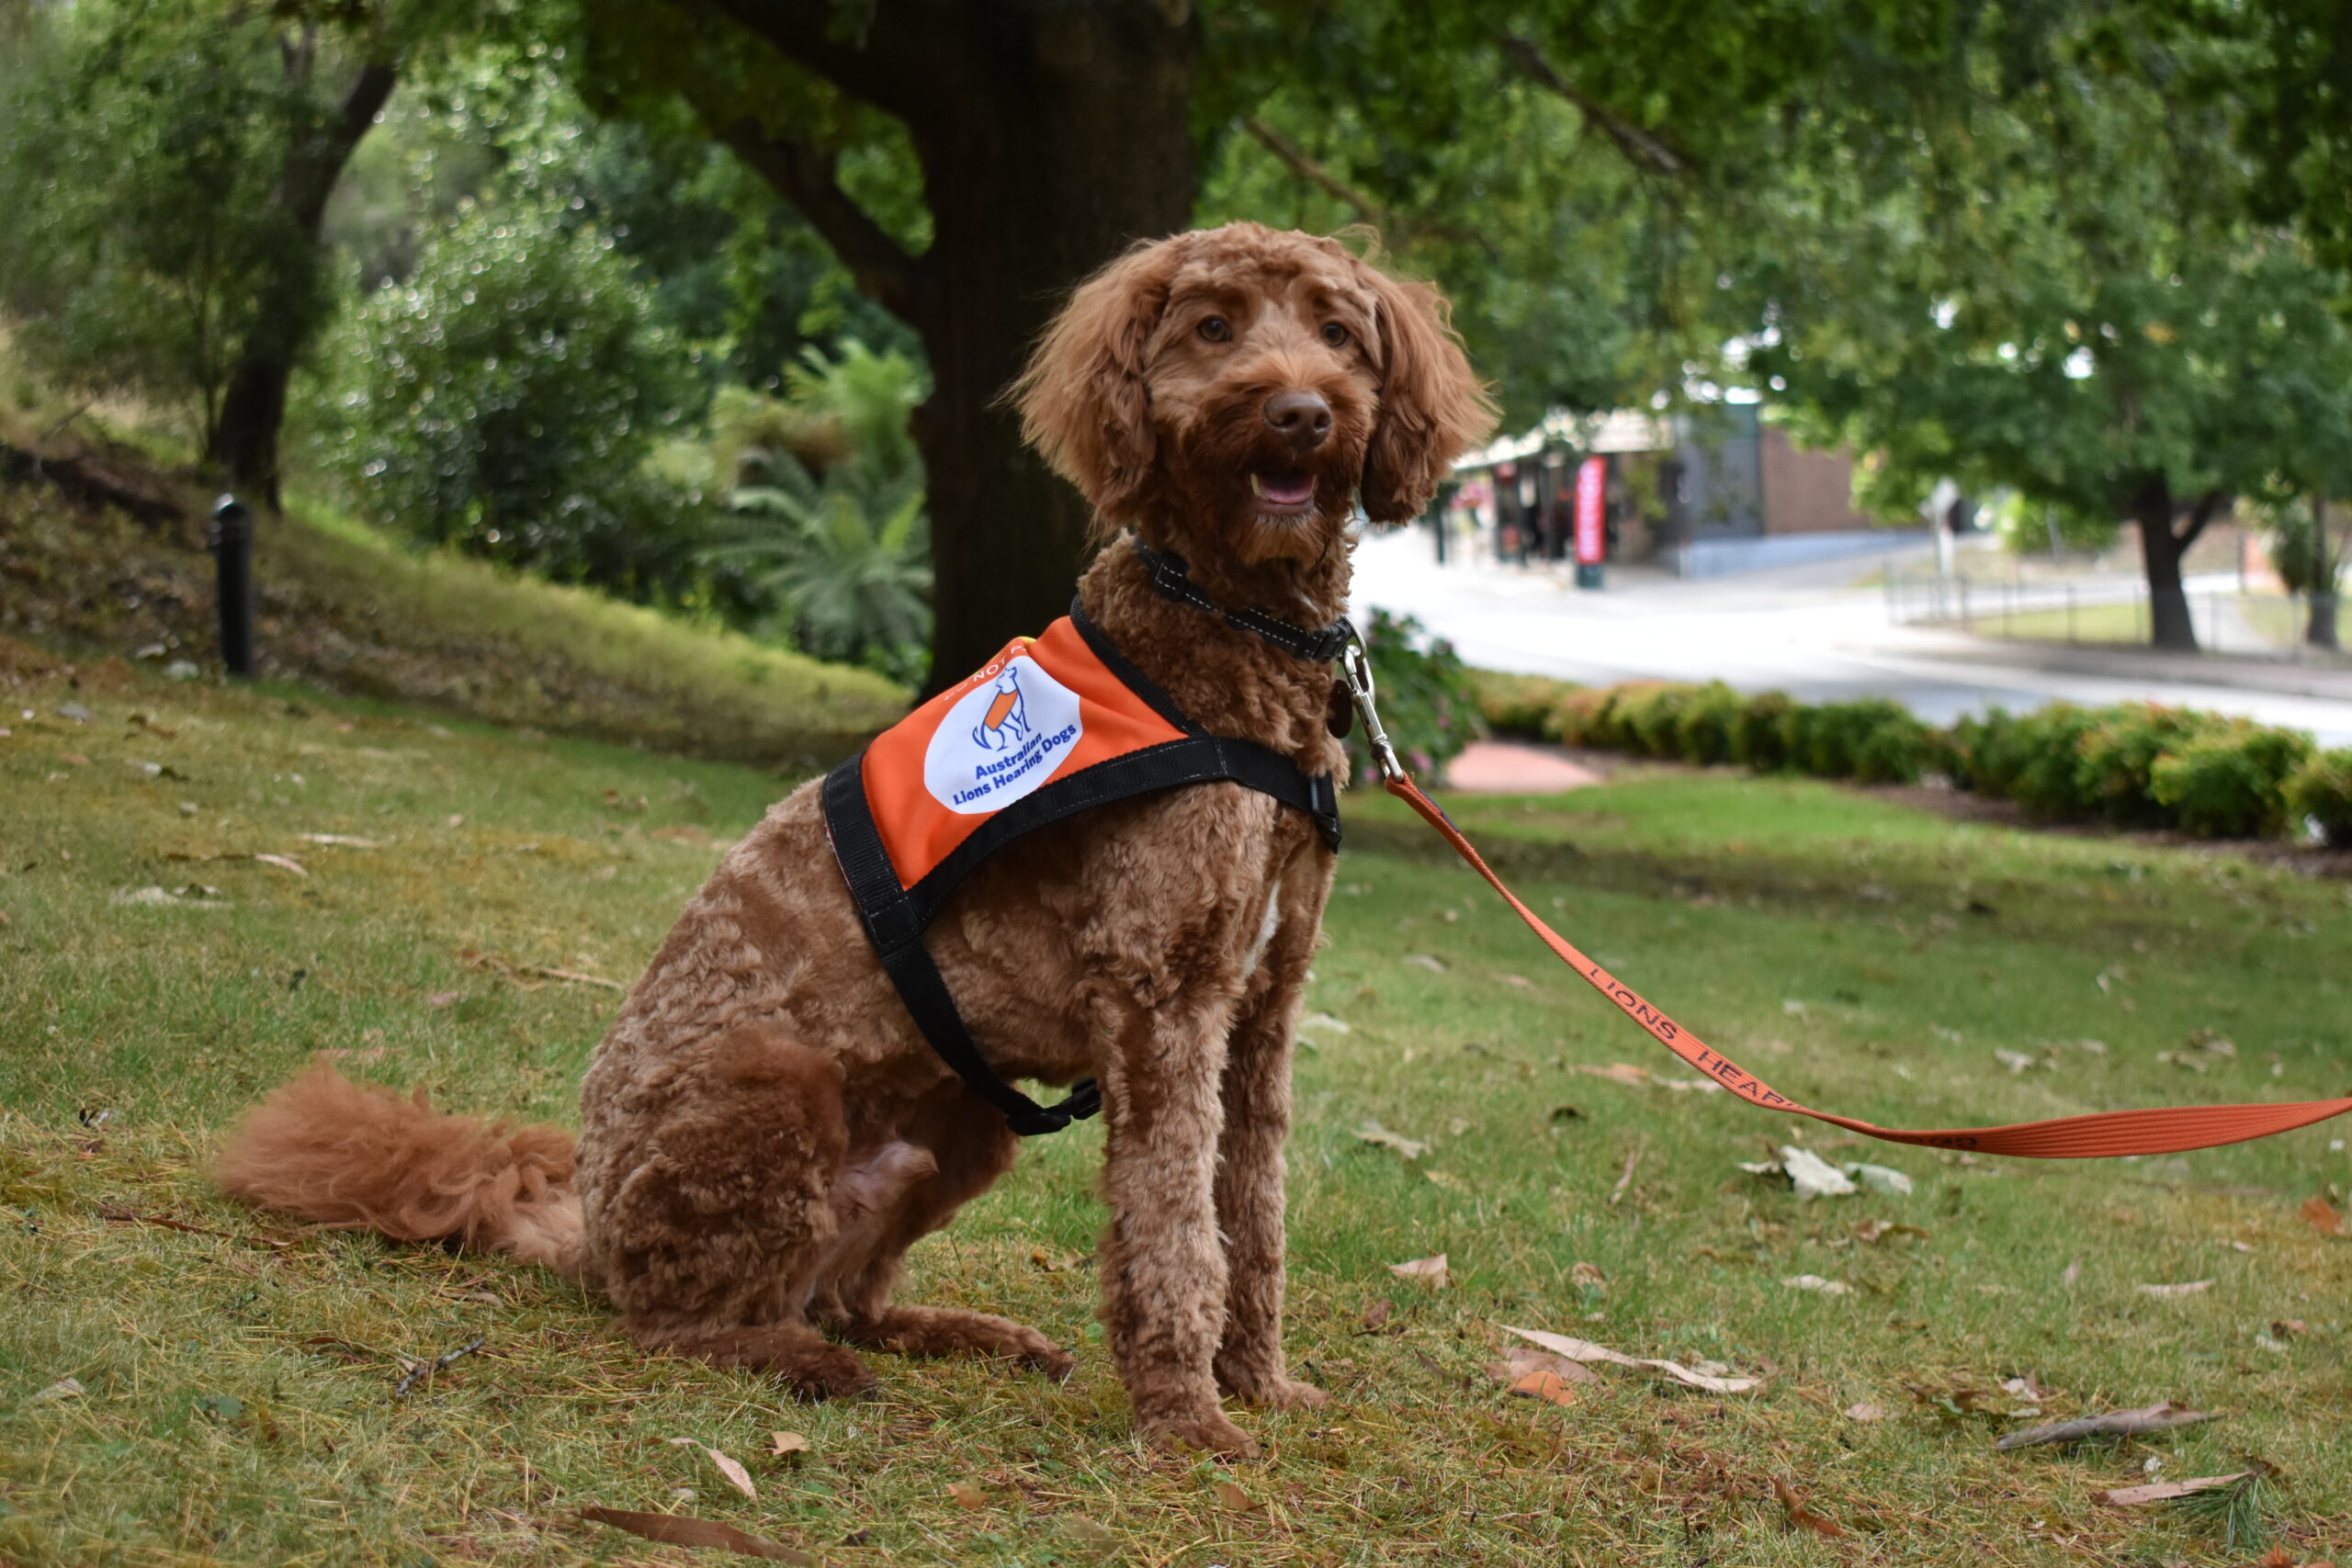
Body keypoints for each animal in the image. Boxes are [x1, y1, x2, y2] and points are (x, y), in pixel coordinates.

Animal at [216, 223, 1486, 1457]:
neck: (1227, 632)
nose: (1301, 412)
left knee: (843, 1295)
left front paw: (1262, 1385)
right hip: (771, 1089)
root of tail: (588, 1219)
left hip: (962, 1123)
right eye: (1215, 328)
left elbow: (1251, 1217)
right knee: (674, 1318)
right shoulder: (1163, 1003)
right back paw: (793, 1362)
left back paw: (958, 1333)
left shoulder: (1260, 1011)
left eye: (1337, 334)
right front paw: (1187, 1418)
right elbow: (1174, 1228)